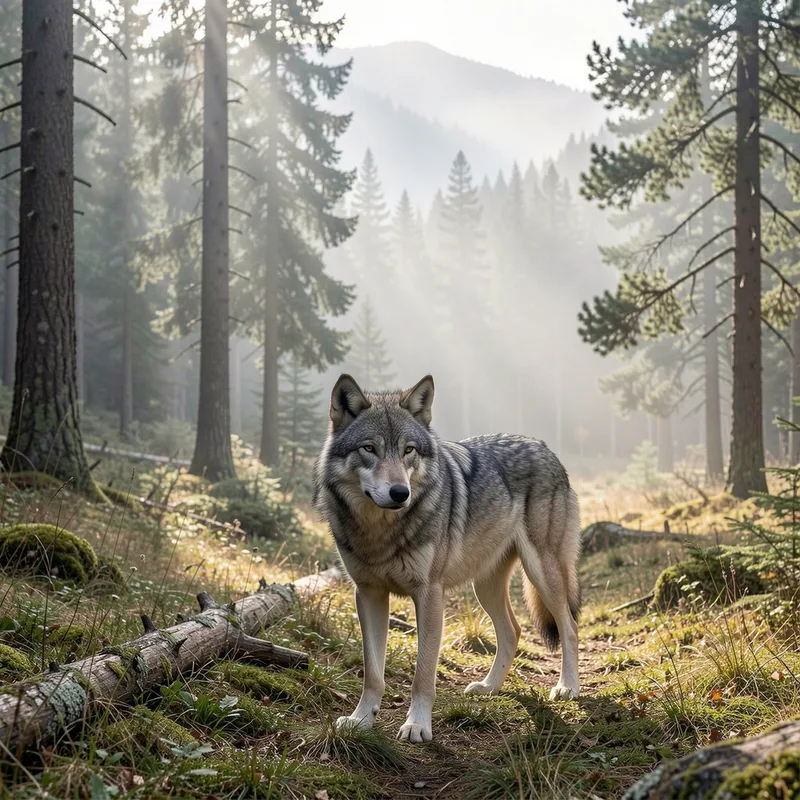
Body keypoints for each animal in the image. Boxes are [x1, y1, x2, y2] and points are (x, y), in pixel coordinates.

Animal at [313, 373, 581, 744]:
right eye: (369, 449)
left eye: (409, 450)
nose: (400, 493)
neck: (381, 532)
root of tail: (542, 445)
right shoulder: (368, 595)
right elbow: (373, 673)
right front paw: (361, 720)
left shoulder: (430, 595)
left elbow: (423, 673)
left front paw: (417, 725)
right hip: (486, 587)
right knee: (512, 630)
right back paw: (489, 687)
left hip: (544, 574)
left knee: (569, 626)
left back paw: (567, 687)